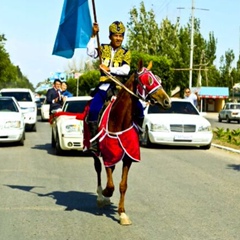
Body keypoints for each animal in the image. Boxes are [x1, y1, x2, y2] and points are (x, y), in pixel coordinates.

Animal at [87, 60, 170, 225]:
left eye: (158, 79)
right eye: (148, 80)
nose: (167, 101)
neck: (119, 121)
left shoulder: (128, 156)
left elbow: (122, 185)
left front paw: (122, 213)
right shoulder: (108, 154)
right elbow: (110, 184)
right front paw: (105, 193)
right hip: (94, 151)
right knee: (98, 168)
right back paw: (100, 195)